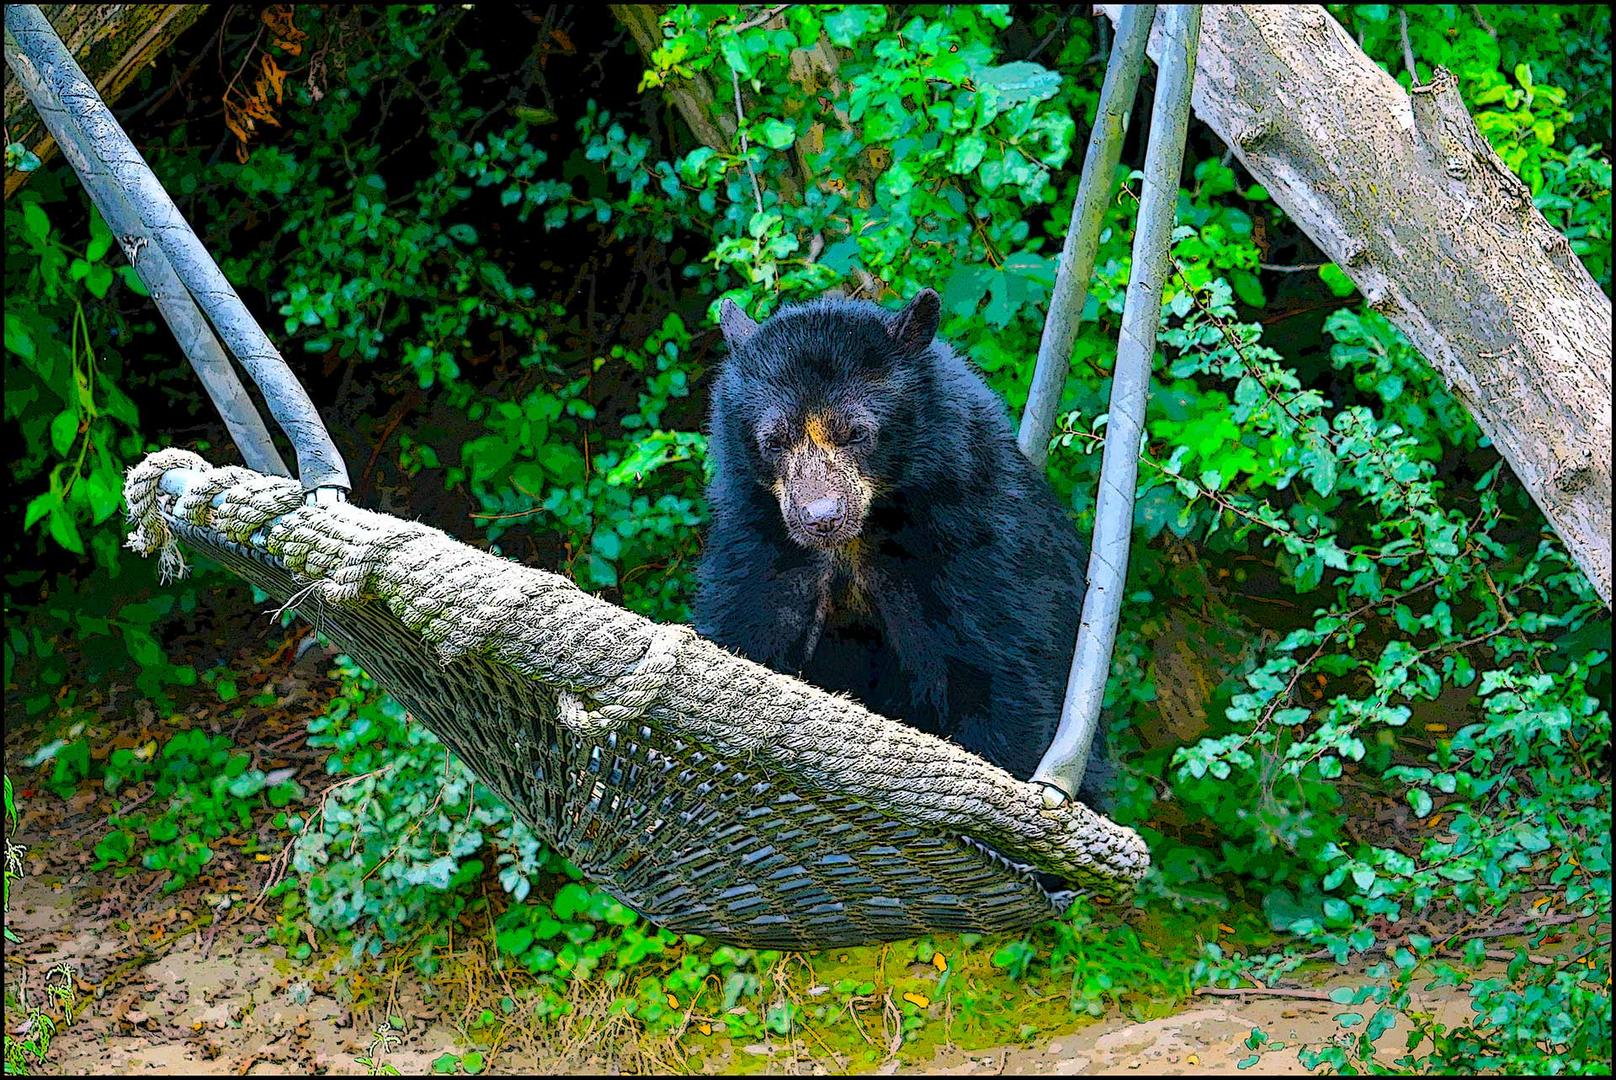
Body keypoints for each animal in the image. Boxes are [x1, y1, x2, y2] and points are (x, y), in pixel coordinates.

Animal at [694, 286, 1111, 801]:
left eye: (856, 433)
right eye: (774, 440)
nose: (821, 518)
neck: (862, 534)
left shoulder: (973, 539)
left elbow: (1007, 676)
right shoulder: (762, 542)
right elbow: (749, 631)